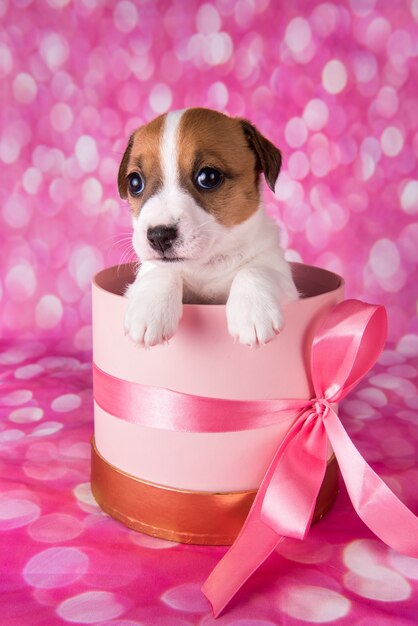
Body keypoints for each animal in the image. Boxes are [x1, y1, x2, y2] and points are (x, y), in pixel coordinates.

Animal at [117, 106, 298, 346]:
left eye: (209, 177)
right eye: (135, 182)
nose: (159, 236)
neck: (206, 263)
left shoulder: (283, 278)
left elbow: (255, 270)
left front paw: (254, 311)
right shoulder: (146, 274)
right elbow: (163, 271)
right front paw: (149, 311)